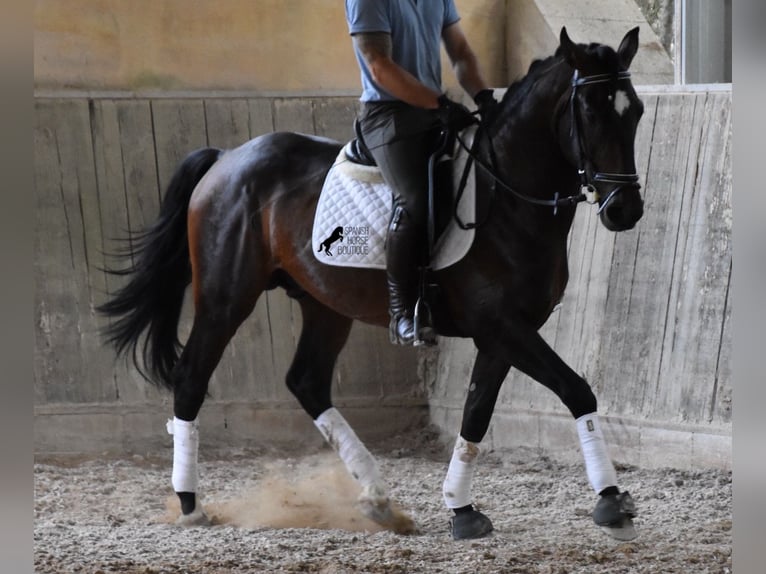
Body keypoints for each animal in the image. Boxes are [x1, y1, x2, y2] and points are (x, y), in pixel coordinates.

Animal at [96, 25, 648, 540]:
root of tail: (227, 158)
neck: (506, 196)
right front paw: (611, 503)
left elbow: (476, 413)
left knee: (307, 381)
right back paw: (190, 505)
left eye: (636, 112)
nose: (625, 210)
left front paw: (461, 509)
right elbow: (577, 391)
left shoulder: (503, 333)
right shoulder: (501, 326)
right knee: (192, 378)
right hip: (226, 297)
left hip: (323, 303)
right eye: (591, 111)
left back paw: (377, 498)